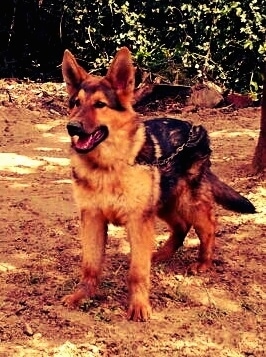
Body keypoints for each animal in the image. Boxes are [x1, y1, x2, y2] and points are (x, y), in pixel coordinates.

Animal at [61, 46, 255, 320]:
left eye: (99, 104)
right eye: (76, 103)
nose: (72, 127)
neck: (108, 166)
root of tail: (195, 127)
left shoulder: (138, 221)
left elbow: (137, 271)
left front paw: (139, 305)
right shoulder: (92, 219)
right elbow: (90, 264)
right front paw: (83, 294)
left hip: (186, 203)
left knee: (208, 227)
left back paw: (203, 263)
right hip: (165, 202)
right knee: (181, 227)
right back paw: (161, 254)